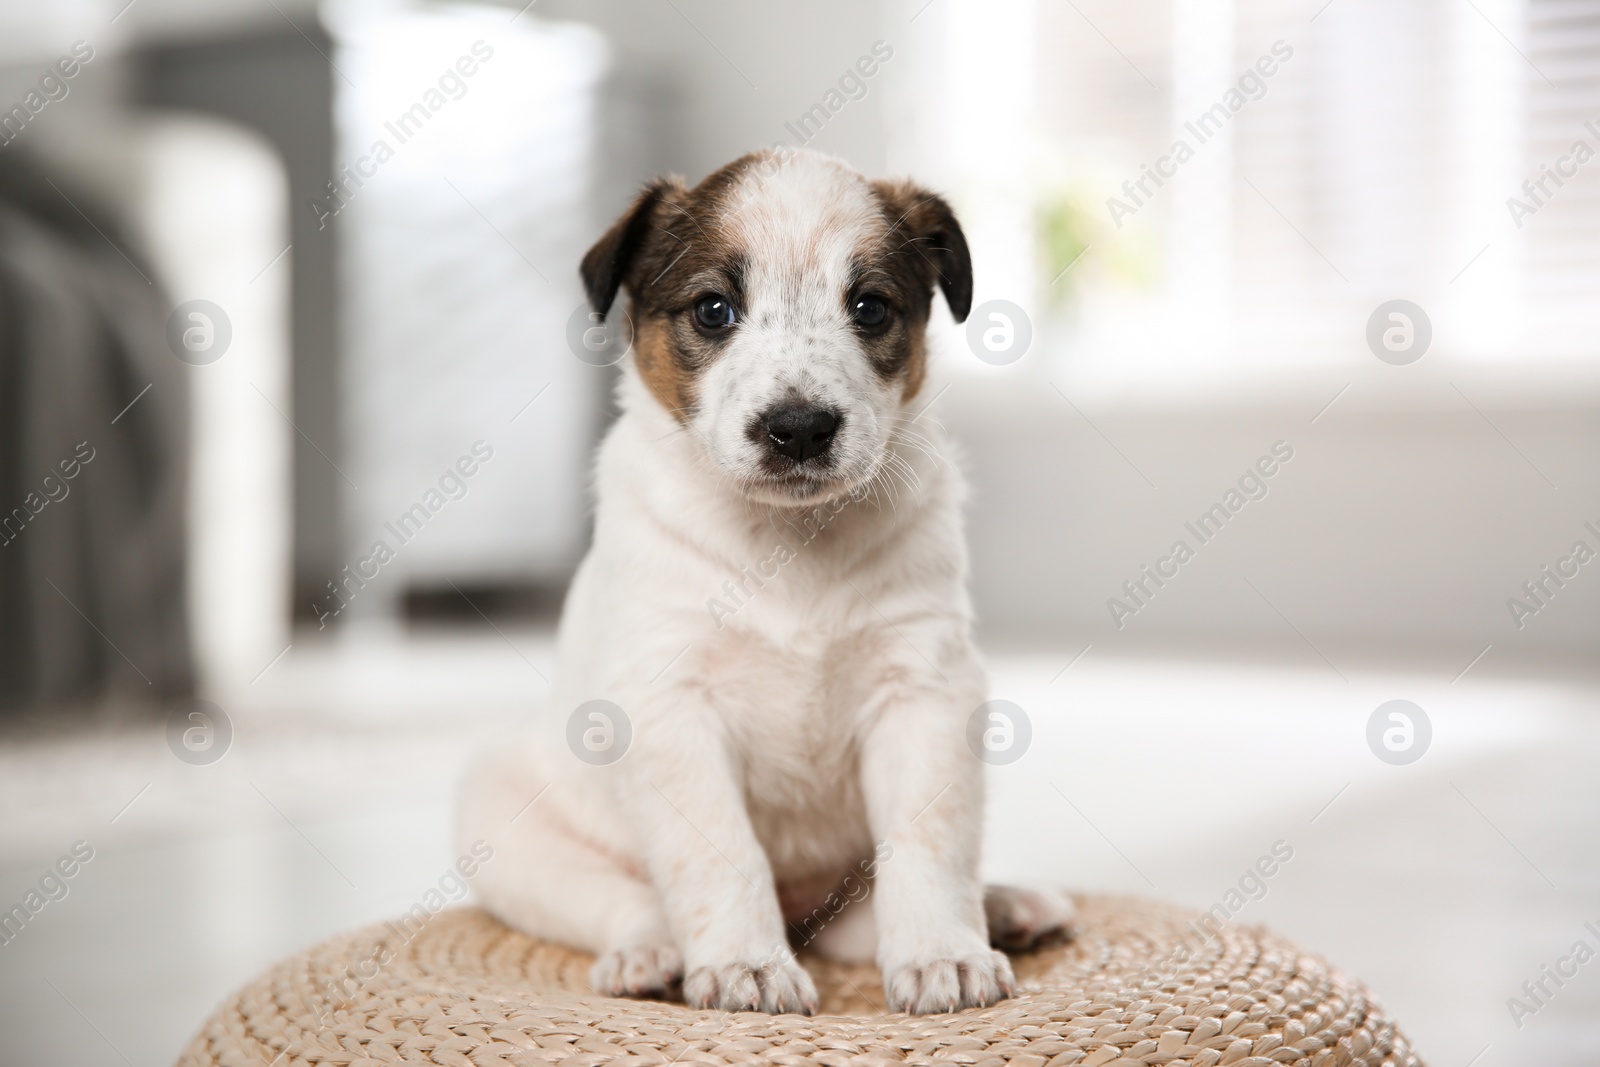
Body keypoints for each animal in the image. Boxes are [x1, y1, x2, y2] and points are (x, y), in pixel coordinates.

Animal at [457, 146, 1068, 1017]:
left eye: (869, 307)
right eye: (714, 309)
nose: (800, 428)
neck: (786, 546)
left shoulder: (924, 690)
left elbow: (930, 840)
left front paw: (943, 954)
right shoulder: (673, 707)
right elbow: (721, 851)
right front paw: (746, 965)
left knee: (866, 912)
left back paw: (1005, 905)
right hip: (505, 818)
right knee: (619, 898)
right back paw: (647, 955)